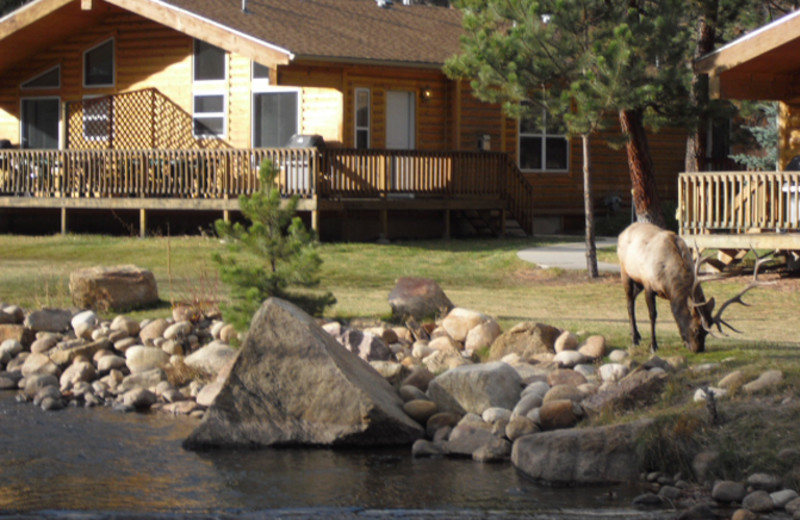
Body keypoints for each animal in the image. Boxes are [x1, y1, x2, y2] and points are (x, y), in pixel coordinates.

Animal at [620, 221, 768, 356]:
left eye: (708, 330)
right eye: (696, 329)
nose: (699, 350)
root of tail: (624, 231)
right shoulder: (648, 284)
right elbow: (653, 315)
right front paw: (653, 346)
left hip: (637, 282)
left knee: (633, 298)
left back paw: (637, 335)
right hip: (625, 272)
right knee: (629, 303)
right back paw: (634, 339)